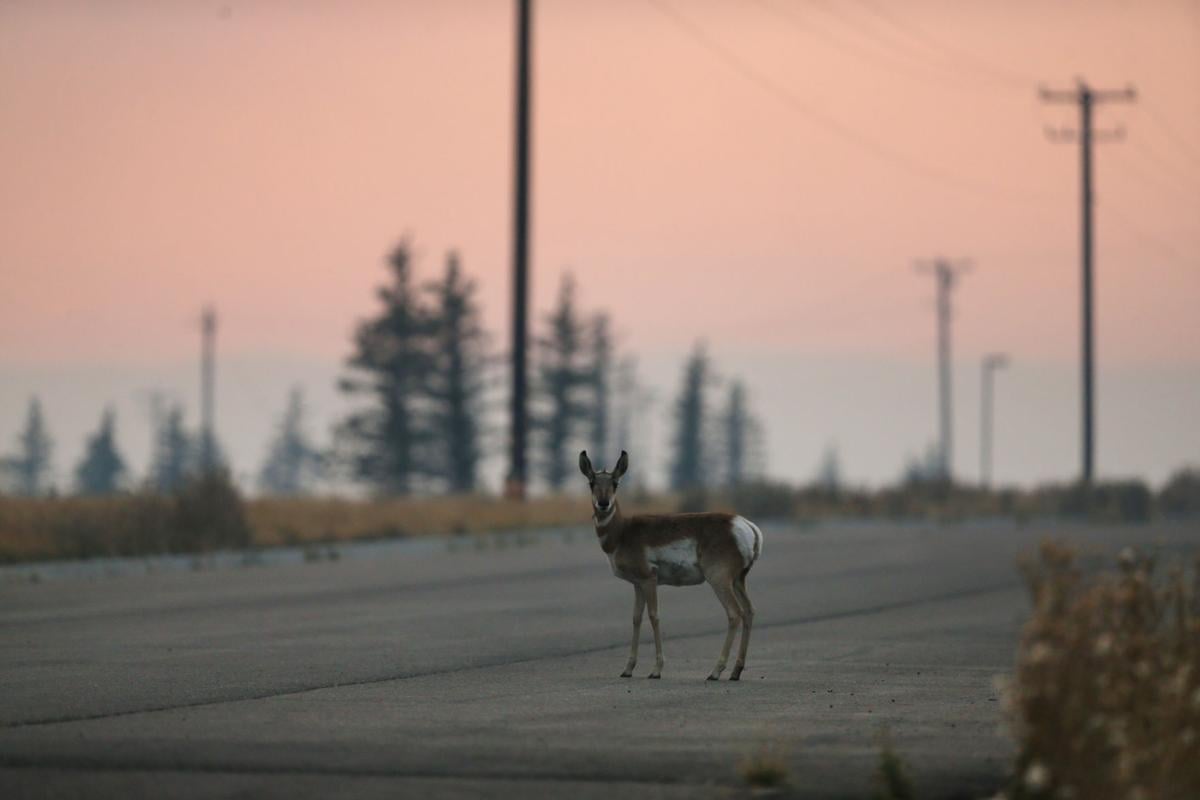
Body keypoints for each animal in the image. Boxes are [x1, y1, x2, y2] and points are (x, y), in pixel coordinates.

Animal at [578, 450, 763, 681]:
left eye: (615, 482)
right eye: (591, 482)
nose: (603, 503)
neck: (623, 532)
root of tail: (745, 525)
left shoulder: (649, 580)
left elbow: (654, 616)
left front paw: (656, 670)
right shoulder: (637, 584)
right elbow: (636, 618)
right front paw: (628, 669)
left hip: (719, 580)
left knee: (734, 613)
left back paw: (715, 672)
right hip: (738, 580)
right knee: (749, 611)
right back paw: (736, 672)